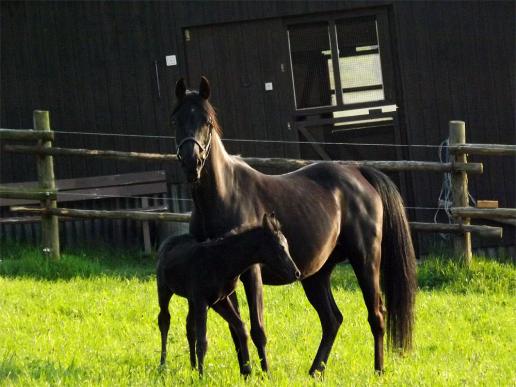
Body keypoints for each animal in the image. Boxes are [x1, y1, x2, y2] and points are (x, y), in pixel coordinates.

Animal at [158, 214, 302, 378]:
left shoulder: (219, 301)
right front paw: (201, 377)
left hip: (191, 300)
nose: (296, 273)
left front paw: (247, 371)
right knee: (164, 320)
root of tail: (167, 242)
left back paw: (193, 367)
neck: (222, 261)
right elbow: (203, 342)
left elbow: (241, 327)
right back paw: (163, 364)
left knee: (189, 326)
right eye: (280, 248)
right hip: (164, 289)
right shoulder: (202, 300)